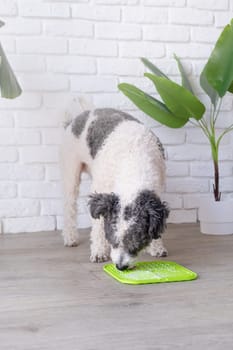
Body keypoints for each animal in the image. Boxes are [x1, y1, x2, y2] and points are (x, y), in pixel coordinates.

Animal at [60, 98, 169, 270]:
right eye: (112, 238)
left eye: (137, 241)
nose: (120, 266)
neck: (133, 162)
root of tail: (81, 115)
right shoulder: (101, 192)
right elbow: (97, 226)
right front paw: (99, 252)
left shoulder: (155, 193)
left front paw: (157, 247)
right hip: (70, 171)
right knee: (69, 206)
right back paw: (70, 238)